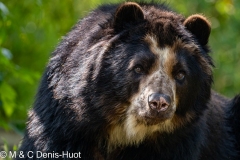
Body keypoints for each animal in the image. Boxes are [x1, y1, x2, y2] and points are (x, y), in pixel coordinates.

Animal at [17, 1, 240, 160]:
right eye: (139, 67)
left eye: (180, 74)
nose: (159, 103)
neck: (125, 133)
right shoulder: (62, 124)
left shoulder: (179, 141)